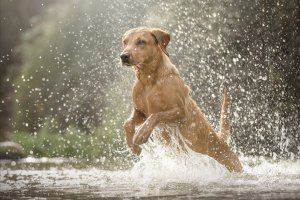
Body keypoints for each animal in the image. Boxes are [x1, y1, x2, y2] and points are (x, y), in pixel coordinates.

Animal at [120, 27, 243, 173]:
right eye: (125, 42)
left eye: (141, 42)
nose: (123, 56)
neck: (149, 78)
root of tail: (221, 140)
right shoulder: (140, 112)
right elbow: (127, 123)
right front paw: (133, 146)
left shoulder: (181, 112)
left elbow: (156, 115)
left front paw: (141, 134)